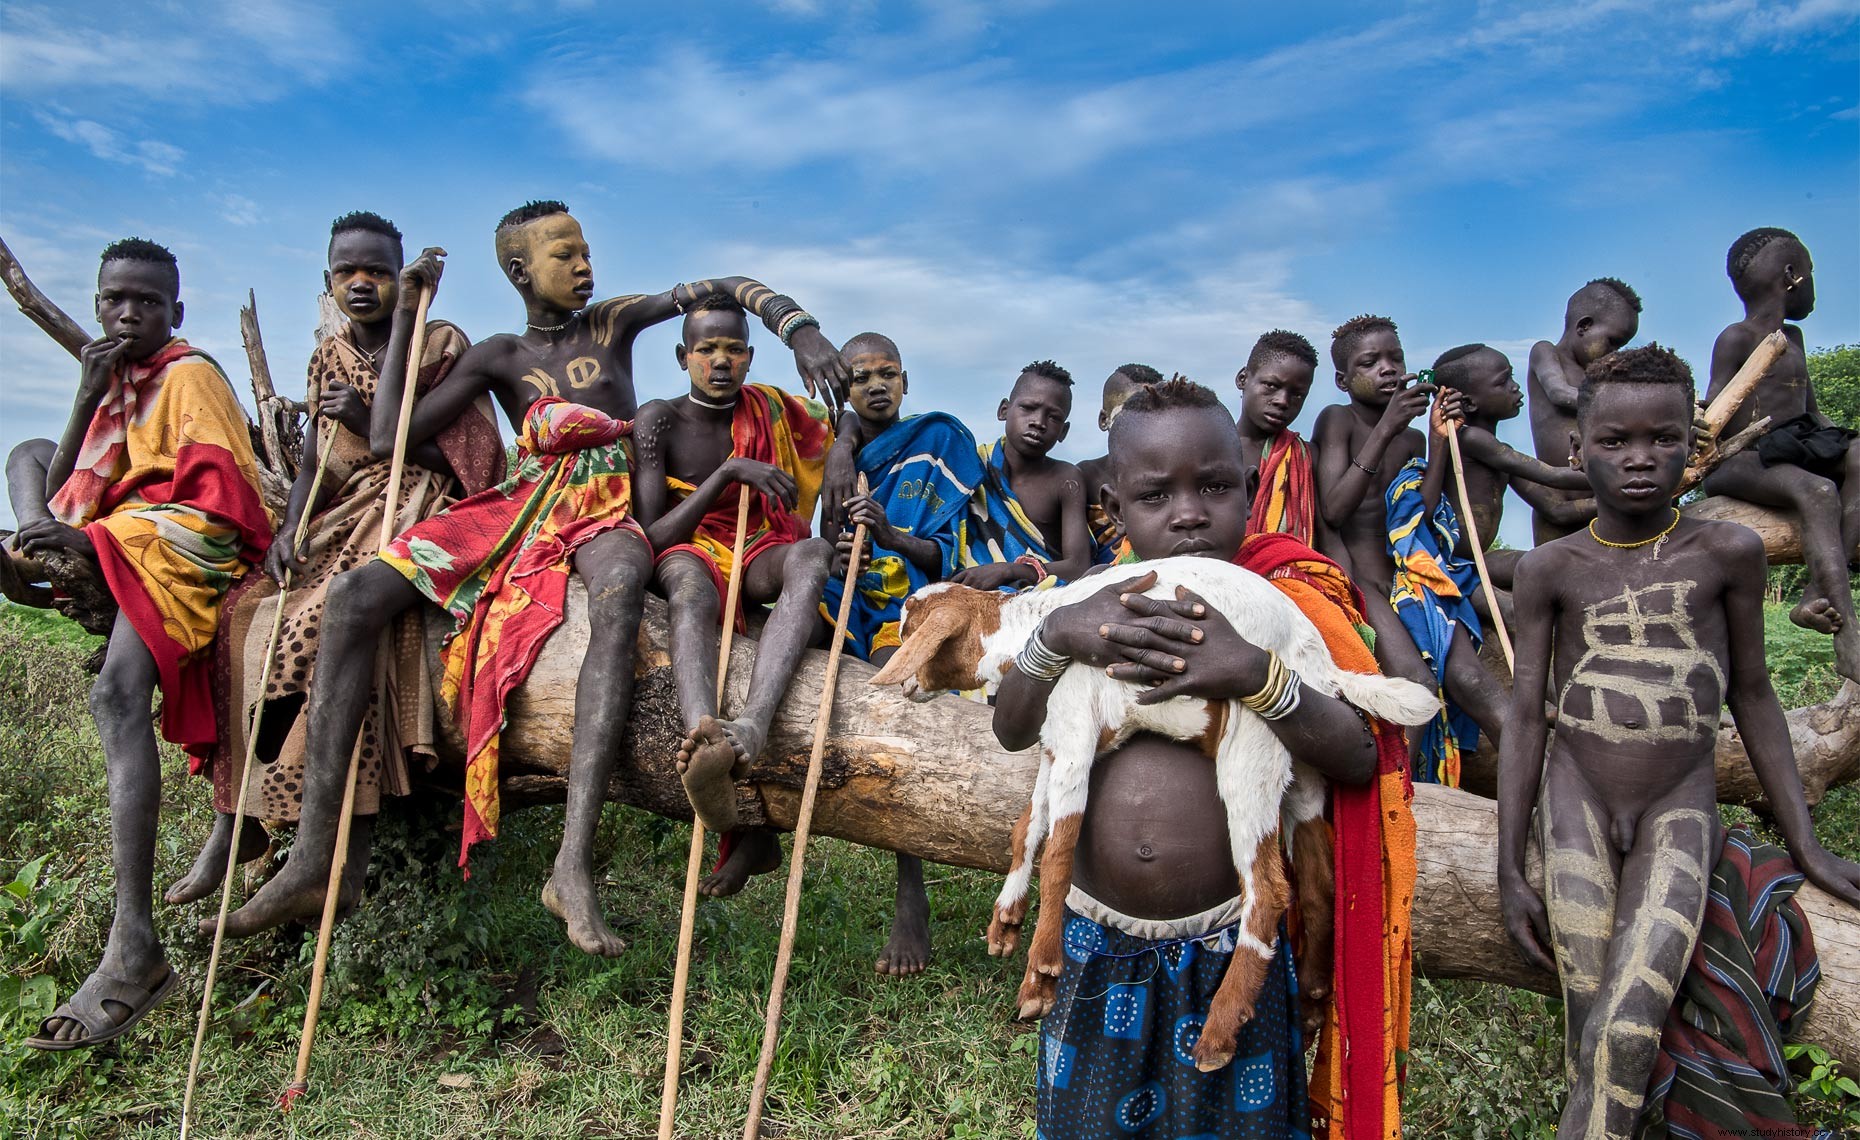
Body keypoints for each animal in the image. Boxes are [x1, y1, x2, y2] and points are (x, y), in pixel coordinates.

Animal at [870, 557, 1435, 1063]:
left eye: (910, 631)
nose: (905, 684)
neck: (1029, 632)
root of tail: (1323, 666)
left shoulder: (1076, 736)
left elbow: (1059, 853)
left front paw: (1040, 977)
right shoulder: (1053, 743)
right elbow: (1027, 828)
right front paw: (1006, 918)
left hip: (1251, 748)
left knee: (1270, 891)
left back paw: (1218, 1032)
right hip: (1305, 775)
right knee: (1319, 885)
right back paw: (1316, 1000)